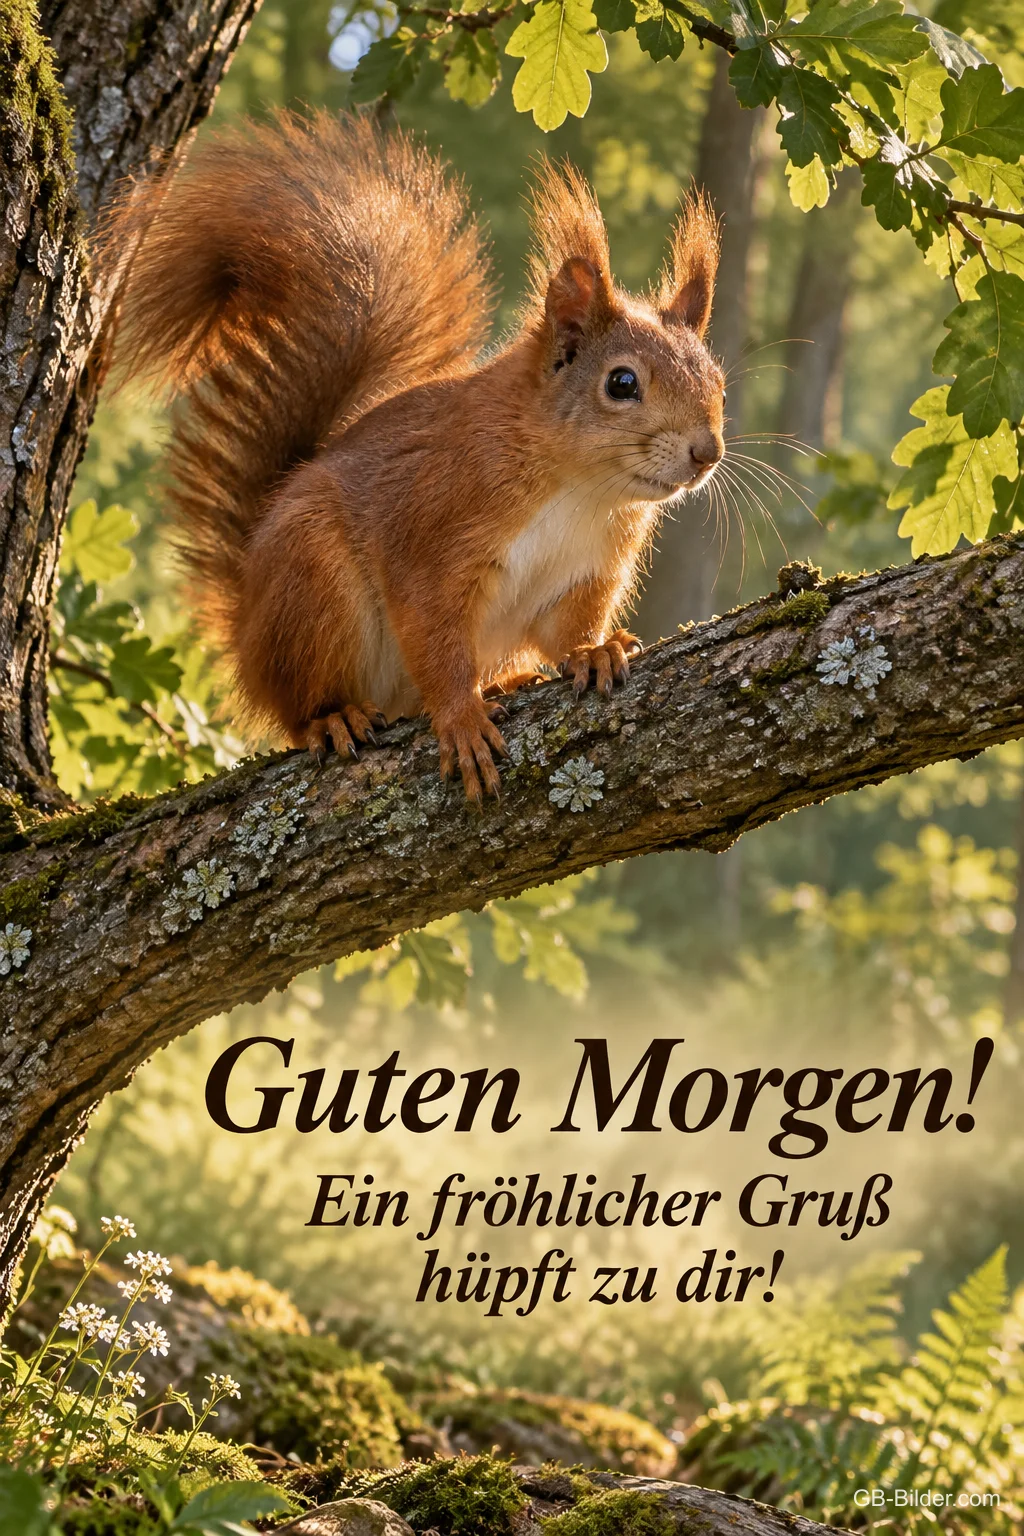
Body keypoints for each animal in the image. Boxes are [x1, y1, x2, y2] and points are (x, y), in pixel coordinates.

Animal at [108, 111, 724, 803]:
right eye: (621, 383)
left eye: (719, 380)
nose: (707, 452)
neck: (579, 488)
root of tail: (247, 621)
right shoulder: (430, 530)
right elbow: (434, 637)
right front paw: (461, 718)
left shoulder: (586, 571)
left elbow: (566, 629)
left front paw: (592, 653)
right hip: (311, 586)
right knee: (300, 704)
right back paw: (334, 718)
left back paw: (507, 679)